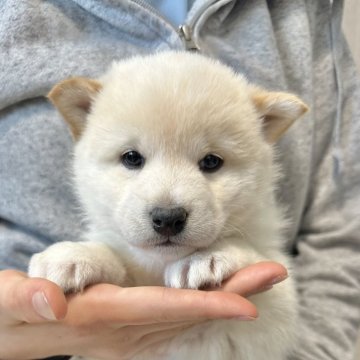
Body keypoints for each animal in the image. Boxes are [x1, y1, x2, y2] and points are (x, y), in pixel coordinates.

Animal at [29, 51, 308, 360]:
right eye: (131, 157)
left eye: (211, 161)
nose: (168, 218)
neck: (158, 266)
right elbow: (116, 257)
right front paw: (72, 256)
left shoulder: (276, 312)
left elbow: (254, 254)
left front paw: (208, 257)